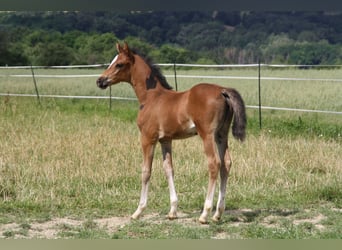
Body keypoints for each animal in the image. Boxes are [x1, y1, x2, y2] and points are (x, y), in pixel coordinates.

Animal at [95, 42, 246, 224]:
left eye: (119, 64)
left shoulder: (147, 138)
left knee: (214, 163)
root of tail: (222, 90)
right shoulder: (165, 140)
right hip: (221, 135)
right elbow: (169, 169)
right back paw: (218, 213)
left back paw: (205, 214)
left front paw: (138, 211)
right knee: (226, 163)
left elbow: (146, 171)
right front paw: (173, 210)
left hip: (207, 135)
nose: (100, 80)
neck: (151, 98)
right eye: (112, 61)